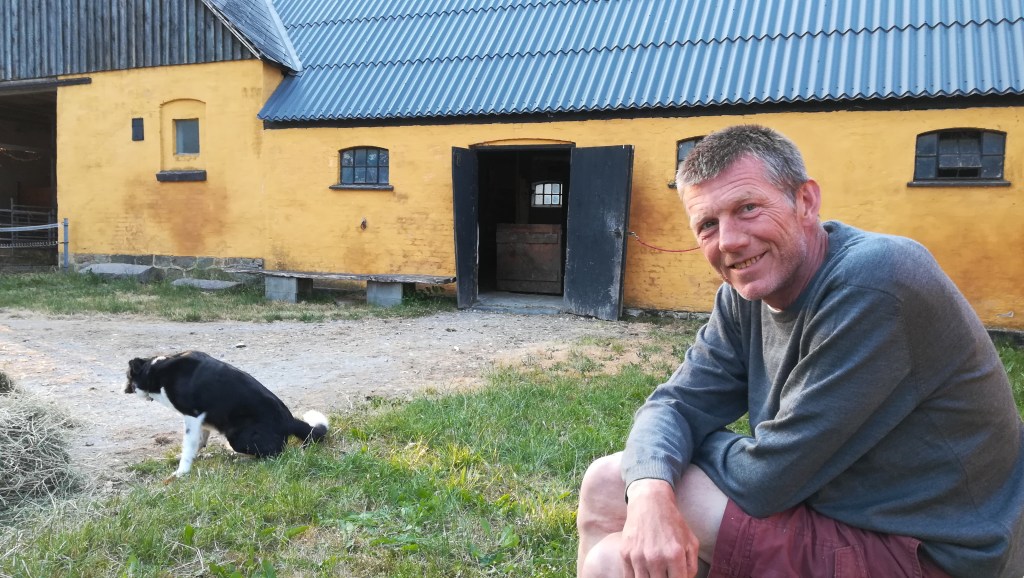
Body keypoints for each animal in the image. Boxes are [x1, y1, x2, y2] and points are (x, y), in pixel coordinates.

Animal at [125, 350, 329, 480]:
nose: (123, 389)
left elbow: (188, 447)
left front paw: (181, 472)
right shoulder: (202, 421)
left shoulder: (192, 416)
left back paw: (240, 457)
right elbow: (198, 442)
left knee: (275, 452)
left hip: (239, 437)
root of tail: (289, 420)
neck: (157, 371)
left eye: (128, 376)